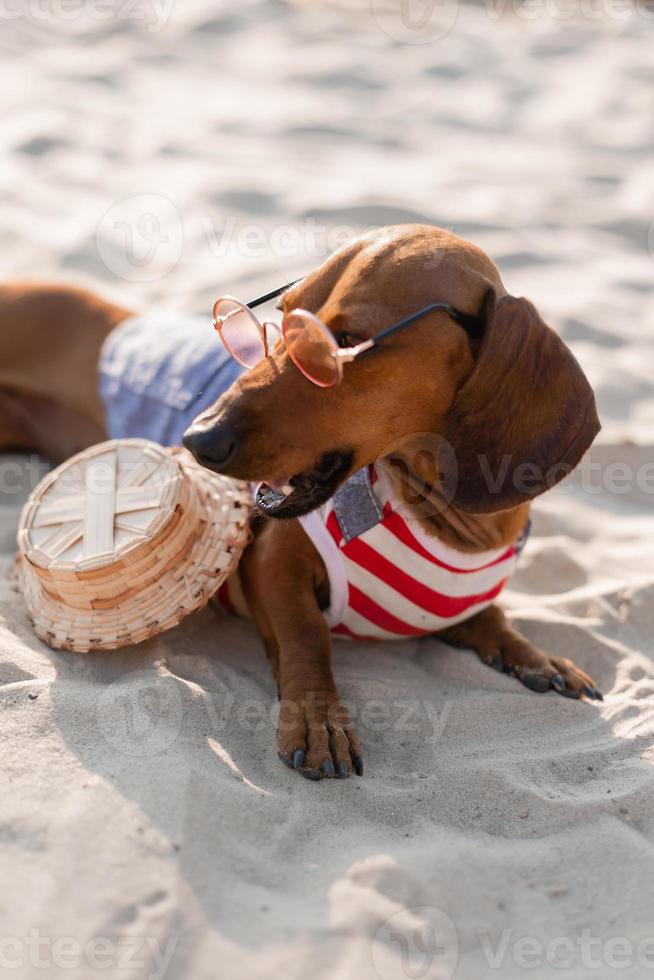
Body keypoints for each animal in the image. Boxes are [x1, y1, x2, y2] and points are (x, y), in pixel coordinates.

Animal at [0, 224, 604, 780]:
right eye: (282, 320)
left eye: (343, 341)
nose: (198, 439)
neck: (443, 520)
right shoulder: (269, 561)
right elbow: (307, 635)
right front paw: (319, 719)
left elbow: (490, 615)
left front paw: (531, 653)